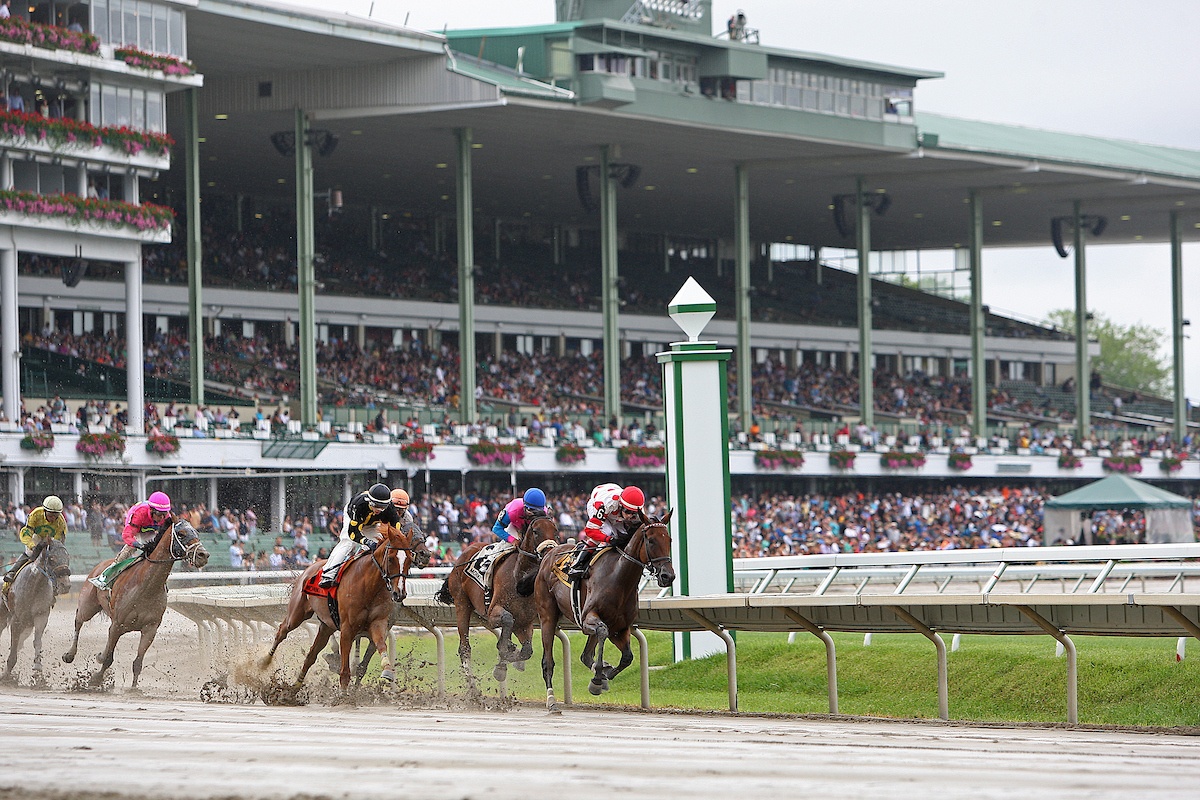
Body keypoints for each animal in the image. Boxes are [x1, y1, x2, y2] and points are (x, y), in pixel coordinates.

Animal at [0, 537, 70, 681]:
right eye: (52, 558)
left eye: (67, 557)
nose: (66, 585)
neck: (34, 585)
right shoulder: (16, 620)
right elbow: (14, 646)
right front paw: (6, 673)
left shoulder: (41, 616)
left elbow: (37, 641)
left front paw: (37, 666)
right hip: (4, 614)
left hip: (27, 625)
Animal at [64, 520, 210, 690]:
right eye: (181, 534)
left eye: (197, 533)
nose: (203, 555)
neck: (146, 587)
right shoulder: (117, 625)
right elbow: (109, 659)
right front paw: (96, 679)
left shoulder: (150, 629)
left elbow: (137, 663)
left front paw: (134, 689)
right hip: (88, 605)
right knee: (78, 621)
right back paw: (69, 654)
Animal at [260, 522, 420, 690]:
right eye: (390, 559)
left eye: (409, 559)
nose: (399, 593)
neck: (369, 586)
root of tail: (308, 569)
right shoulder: (347, 629)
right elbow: (345, 672)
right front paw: (344, 695)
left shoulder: (378, 624)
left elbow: (380, 645)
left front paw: (388, 671)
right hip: (297, 614)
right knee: (282, 631)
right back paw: (264, 663)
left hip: (326, 626)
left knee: (311, 655)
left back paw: (295, 688)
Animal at [434, 515, 559, 686]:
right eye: (535, 531)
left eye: (555, 531)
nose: (550, 552)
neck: (520, 580)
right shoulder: (494, 612)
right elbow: (507, 621)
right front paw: (504, 655)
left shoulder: (524, 622)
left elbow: (526, 650)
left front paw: (508, 662)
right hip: (462, 604)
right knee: (464, 647)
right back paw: (472, 687)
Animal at [537, 510, 676, 710]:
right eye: (651, 540)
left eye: (669, 539)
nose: (668, 576)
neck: (618, 577)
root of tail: (549, 553)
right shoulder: (588, 618)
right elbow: (603, 633)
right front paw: (597, 679)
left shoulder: (620, 628)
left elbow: (627, 657)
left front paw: (604, 675)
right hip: (547, 616)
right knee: (547, 661)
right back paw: (551, 700)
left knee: (585, 656)